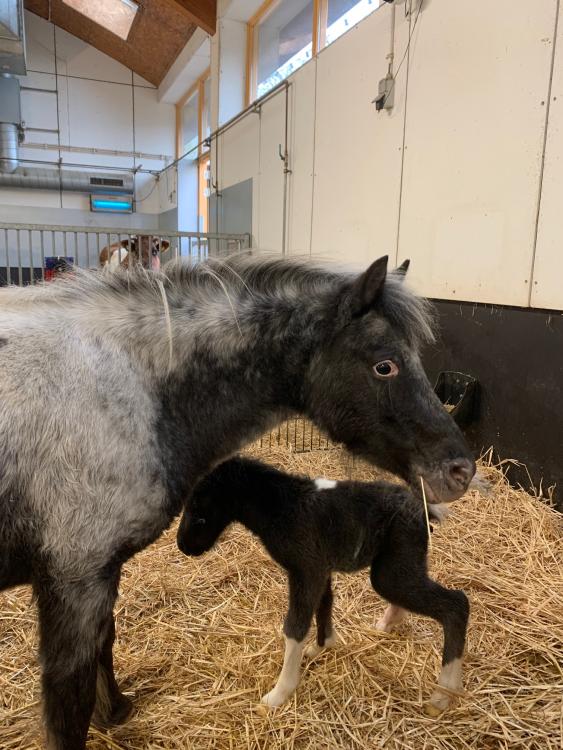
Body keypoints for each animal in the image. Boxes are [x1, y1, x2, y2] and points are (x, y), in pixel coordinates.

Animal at [0, 253, 475, 749]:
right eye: (385, 366)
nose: (461, 471)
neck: (129, 387)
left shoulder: (94, 574)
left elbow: (103, 646)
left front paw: (115, 711)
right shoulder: (76, 578)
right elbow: (68, 703)